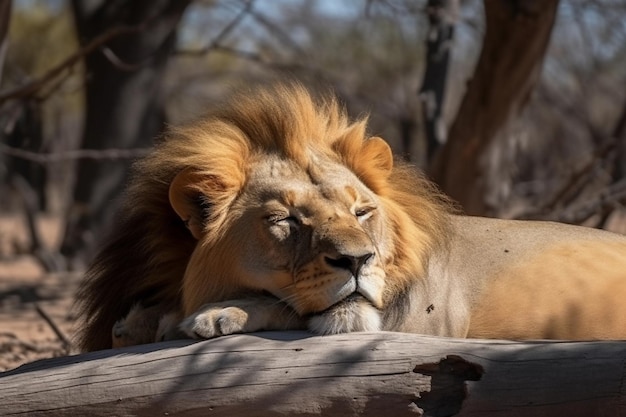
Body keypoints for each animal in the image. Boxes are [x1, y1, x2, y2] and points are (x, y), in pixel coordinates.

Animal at [75, 82, 624, 352]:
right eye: (286, 221)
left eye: (361, 212)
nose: (358, 261)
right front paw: (140, 321)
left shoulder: (424, 327)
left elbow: (291, 312)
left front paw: (211, 315)